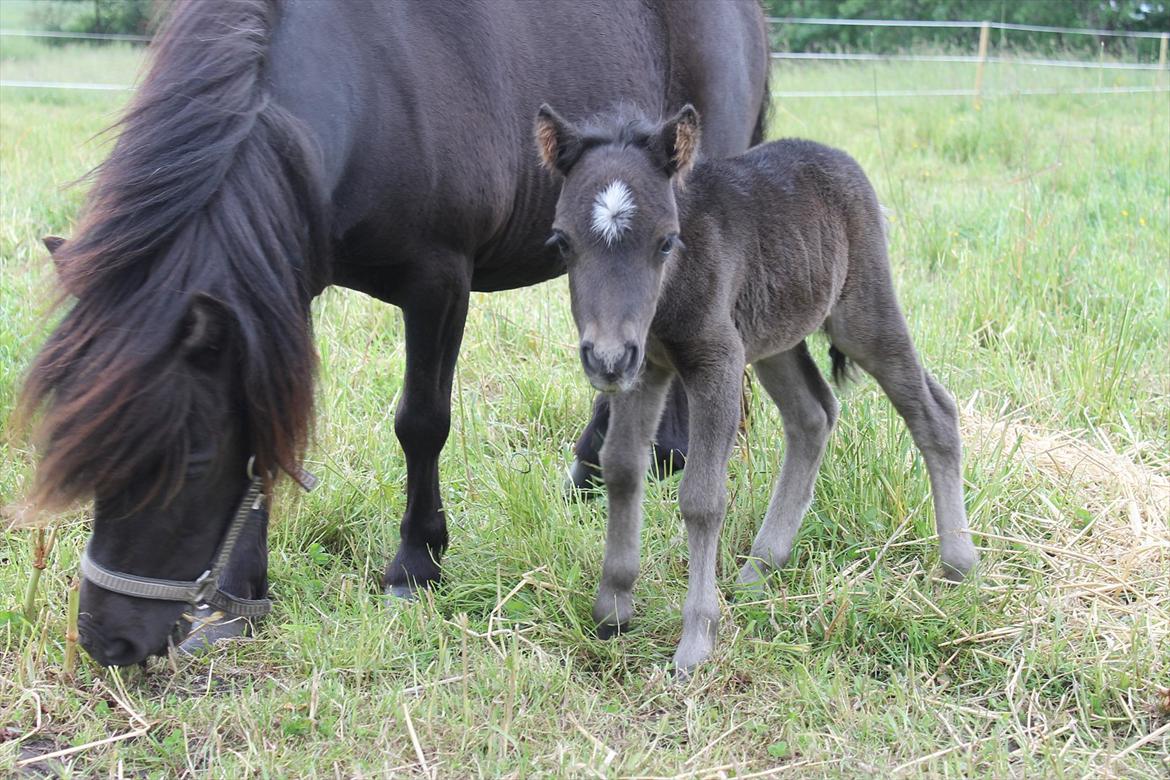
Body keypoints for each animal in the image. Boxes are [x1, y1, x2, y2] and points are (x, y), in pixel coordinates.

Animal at [22, 1, 767, 673]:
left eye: (193, 462)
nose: (107, 642)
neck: (364, 77)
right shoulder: (285, 283)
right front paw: (239, 596)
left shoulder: (439, 281)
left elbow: (422, 423)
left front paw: (415, 564)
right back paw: (608, 464)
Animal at [535, 103, 978, 673]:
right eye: (562, 242)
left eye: (665, 240)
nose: (605, 357)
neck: (669, 293)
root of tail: (839, 159)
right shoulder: (644, 365)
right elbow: (621, 468)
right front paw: (613, 608)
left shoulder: (717, 361)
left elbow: (702, 498)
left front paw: (696, 642)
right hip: (773, 335)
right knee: (813, 415)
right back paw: (759, 569)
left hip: (861, 314)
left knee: (931, 411)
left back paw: (958, 563)